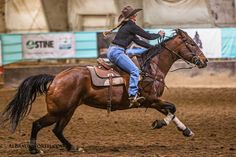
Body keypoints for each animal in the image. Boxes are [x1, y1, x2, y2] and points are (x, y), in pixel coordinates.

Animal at [0, 28, 207, 154]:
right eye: (192, 43)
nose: (205, 61)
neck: (151, 67)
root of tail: (56, 78)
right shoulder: (151, 99)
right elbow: (172, 108)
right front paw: (158, 124)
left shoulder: (154, 100)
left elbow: (171, 110)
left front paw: (186, 131)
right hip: (58, 110)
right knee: (37, 124)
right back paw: (35, 149)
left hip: (68, 110)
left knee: (57, 130)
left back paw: (73, 147)